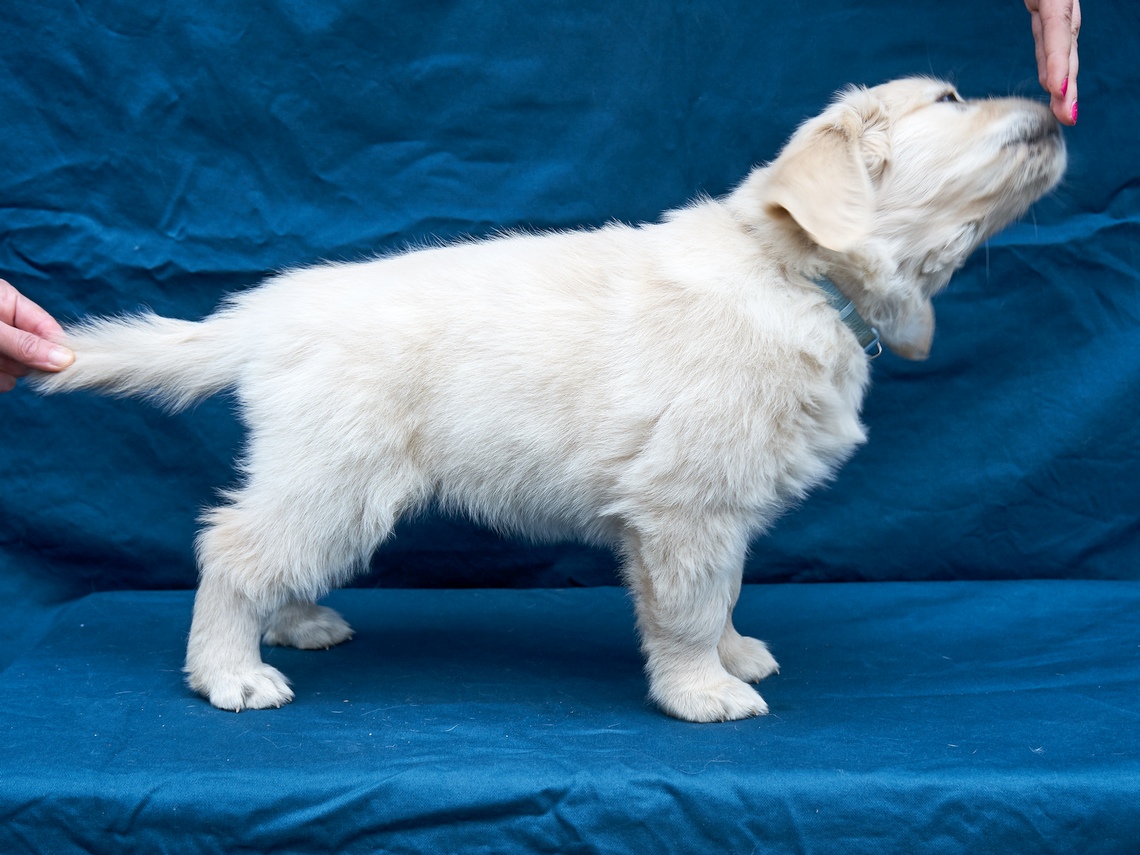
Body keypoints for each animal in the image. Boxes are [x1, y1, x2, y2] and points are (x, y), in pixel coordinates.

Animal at [31, 77, 1066, 721]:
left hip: (317, 474)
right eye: (950, 99)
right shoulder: (685, 503)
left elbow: (725, 588)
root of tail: (267, 312)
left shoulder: (717, 504)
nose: (1057, 109)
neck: (791, 272)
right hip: (340, 472)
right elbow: (689, 605)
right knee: (233, 550)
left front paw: (732, 652)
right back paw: (232, 670)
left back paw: (295, 624)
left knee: (266, 550)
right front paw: (703, 690)